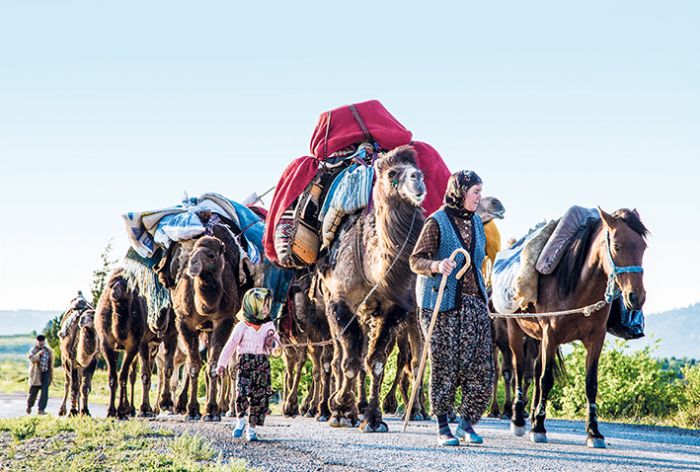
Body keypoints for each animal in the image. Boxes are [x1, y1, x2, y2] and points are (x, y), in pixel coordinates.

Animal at [318, 146, 426, 434]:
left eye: (419, 169)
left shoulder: (393, 308)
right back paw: (333, 409)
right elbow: (350, 361)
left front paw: (373, 418)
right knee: (339, 357)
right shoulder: (341, 301)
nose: (418, 179)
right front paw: (341, 410)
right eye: (392, 173)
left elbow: (375, 362)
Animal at [506, 208, 648, 448]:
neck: (578, 288)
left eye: (643, 247)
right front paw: (539, 427)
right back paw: (518, 419)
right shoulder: (551, 336)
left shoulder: (595, 339)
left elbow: (591, 384)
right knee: (519, 368)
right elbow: (546, 380)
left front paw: (594, 432)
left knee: (535, 368)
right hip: (515, 331)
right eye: (618, 246)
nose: (636, 297)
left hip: (539, 339)